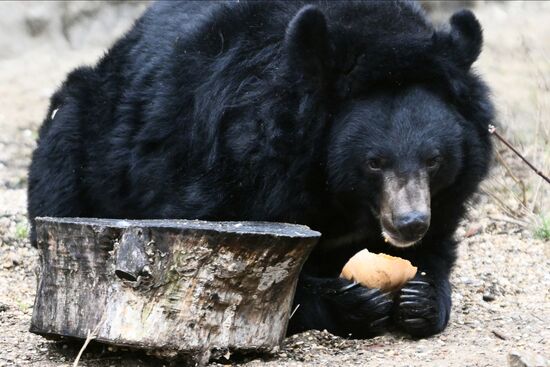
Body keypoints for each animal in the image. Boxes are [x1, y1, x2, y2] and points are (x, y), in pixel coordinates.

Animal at [28, 0, 496, 340]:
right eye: (374, 162)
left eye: (434, 160)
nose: (409, 223)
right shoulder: (234, 163)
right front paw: (353, 303)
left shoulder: (446, 195)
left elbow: (439, 246)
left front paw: (422, 298)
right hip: (85, 126)